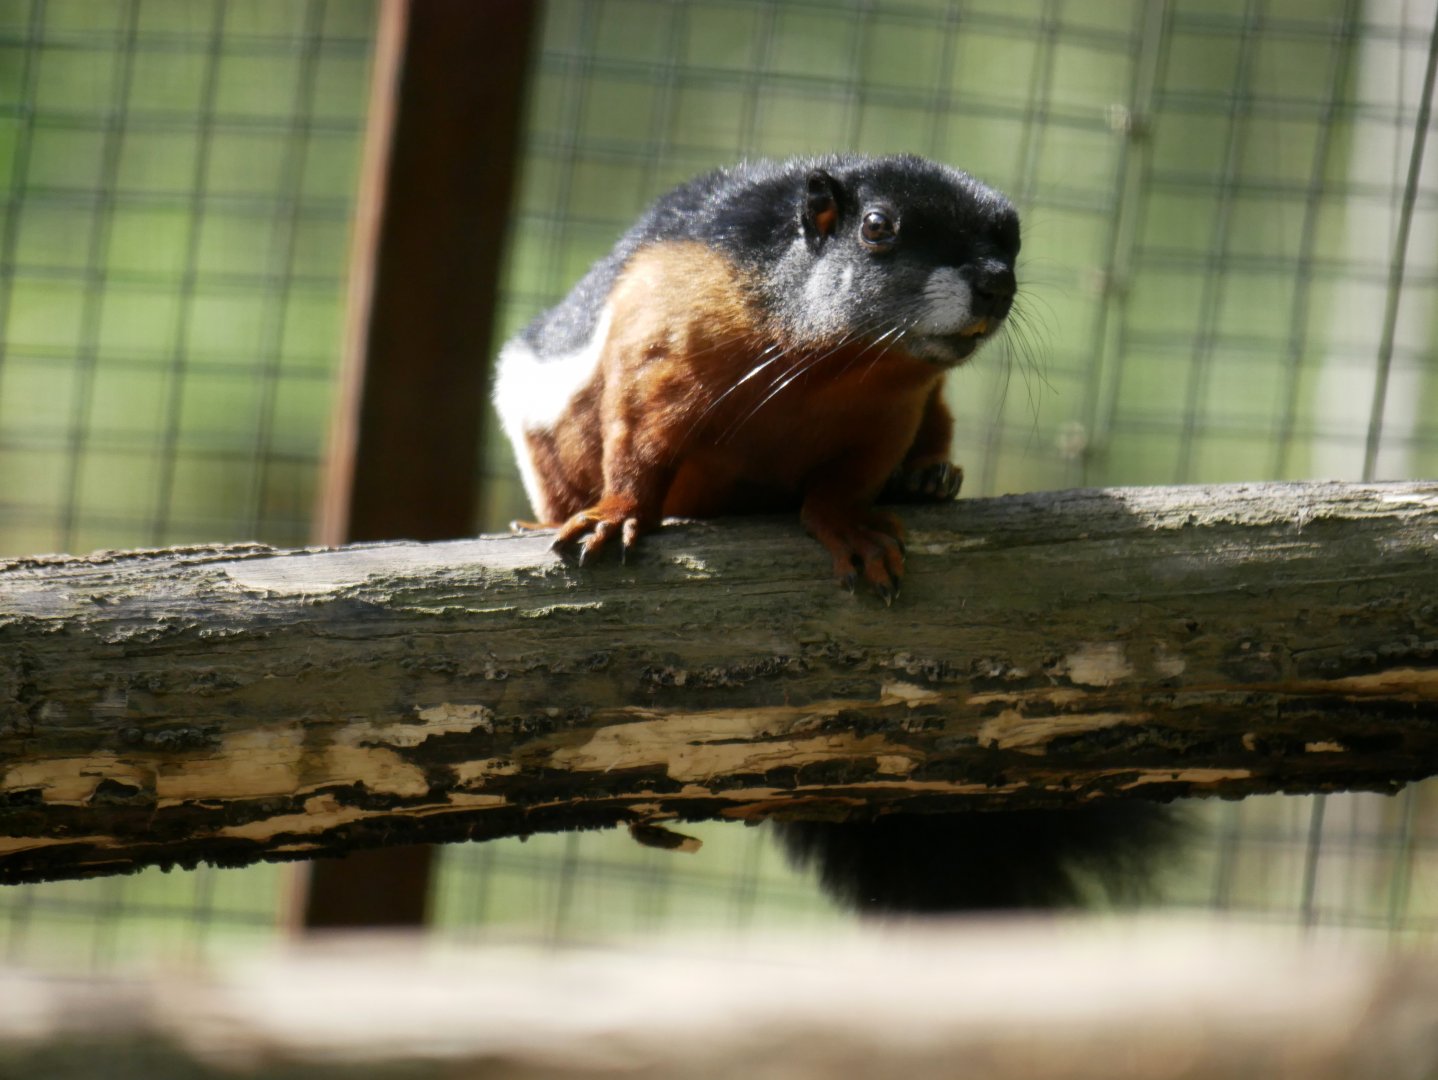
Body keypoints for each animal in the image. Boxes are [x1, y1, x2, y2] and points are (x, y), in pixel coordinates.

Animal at [494, 154, 1175, 911]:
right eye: (876, 227)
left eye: (1014, 237)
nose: (997, 284)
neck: (836, 367)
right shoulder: (662, 345)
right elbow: (639, 442)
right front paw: (615, 515)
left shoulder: (892, 414)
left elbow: (846, 485)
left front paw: (856, 533)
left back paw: (927, 479)